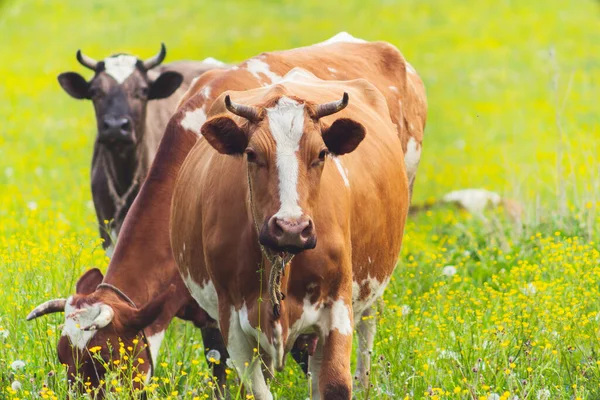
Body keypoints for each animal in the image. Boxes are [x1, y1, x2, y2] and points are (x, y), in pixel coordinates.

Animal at [169, 33, 428, 396]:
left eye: (321, 153)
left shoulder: (337, 307)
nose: (291, 228)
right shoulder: (231, 323)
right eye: (251, 154)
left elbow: (334, 386)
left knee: (367, 325)